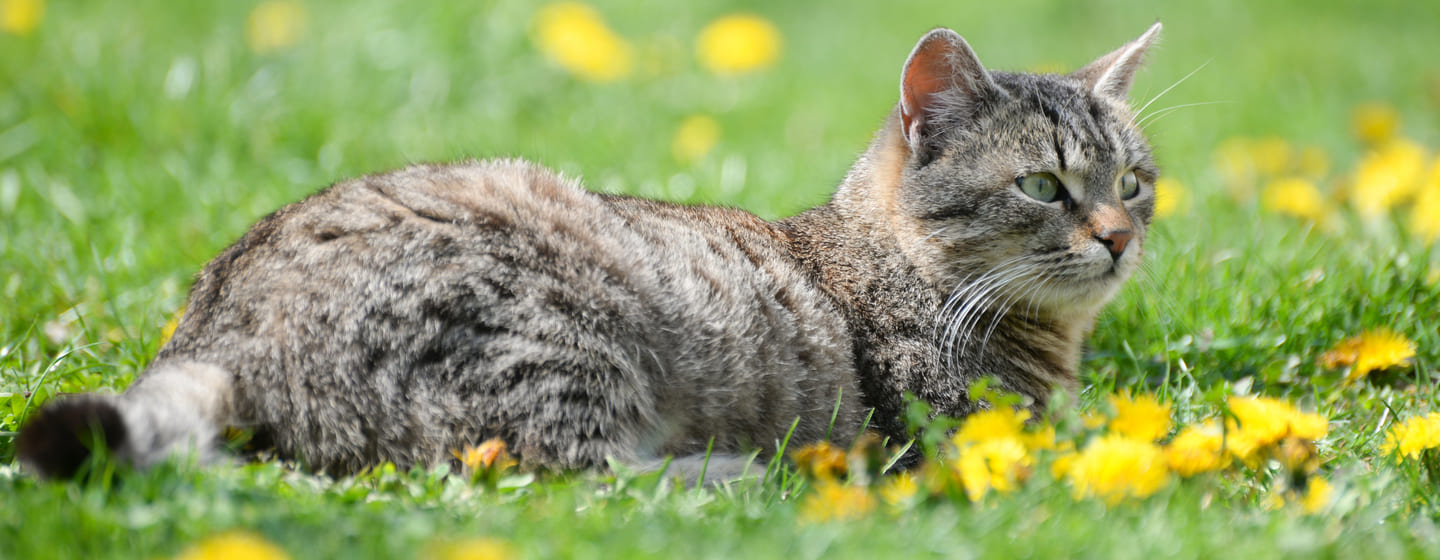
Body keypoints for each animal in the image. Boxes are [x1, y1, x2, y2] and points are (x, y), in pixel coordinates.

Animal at [16, 22, 1163, 480]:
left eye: (1134, 183)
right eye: (1043, 186)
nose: (1117, 237)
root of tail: (210, 333)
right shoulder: (966, 426)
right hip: (562, 337)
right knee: (573, 472)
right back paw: (763, 471)